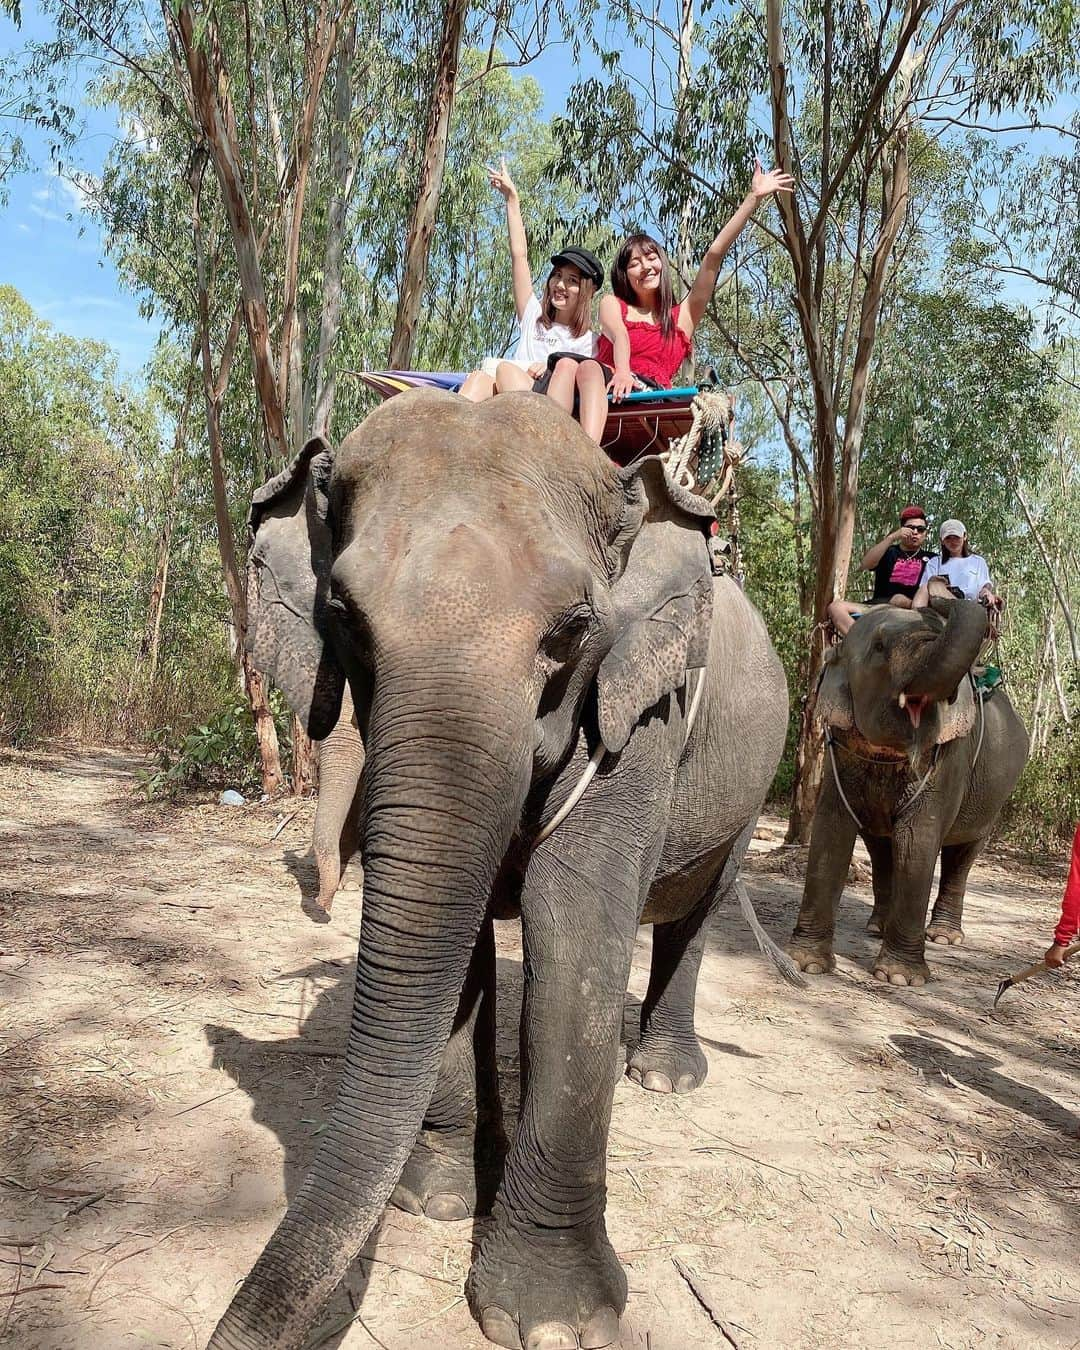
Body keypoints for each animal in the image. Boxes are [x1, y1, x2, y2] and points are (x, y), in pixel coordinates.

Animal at [214, 388, 793, 1350]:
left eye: (572, 629)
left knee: (696, 910)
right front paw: (438, 1198)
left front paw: (554, 1320)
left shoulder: (639, 718)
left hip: (747, 782)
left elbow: (574, 934)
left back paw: (664, 1075)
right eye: (344, 615)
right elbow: (457, 947)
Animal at [783, 596, 1031, 988]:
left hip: (995, 797)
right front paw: (805, 963)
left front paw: (899, 978)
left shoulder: (950, 758)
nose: (942, 598)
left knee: (963, 854)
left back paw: (943, 936)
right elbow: (832, 830)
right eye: (880, 646)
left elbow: (917, 840)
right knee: (881, 848)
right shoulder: (839, 748)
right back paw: (877, 928)